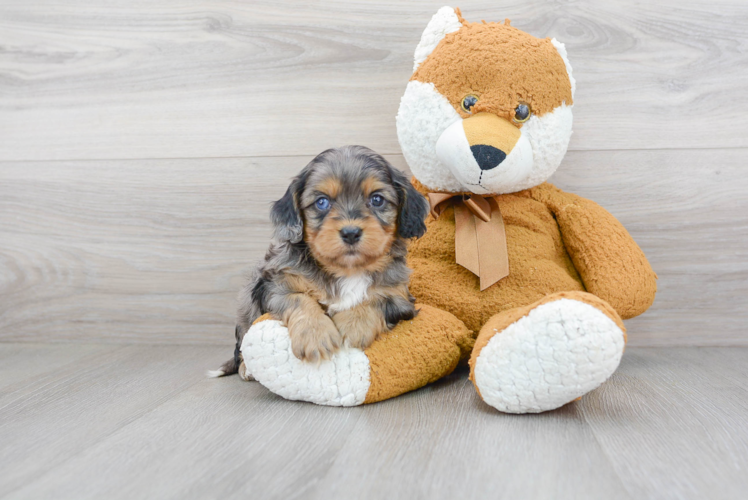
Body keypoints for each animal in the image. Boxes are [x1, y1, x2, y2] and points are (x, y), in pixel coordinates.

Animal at [213, 145, 430, 378]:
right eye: (322, 202)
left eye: (377, 199)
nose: (351, 233)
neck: (347, 271)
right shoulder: (273, 286)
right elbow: (298, 298)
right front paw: (315, 335)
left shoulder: (400, 295)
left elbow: (378, 299)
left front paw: (352, 325)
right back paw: (246, 368)